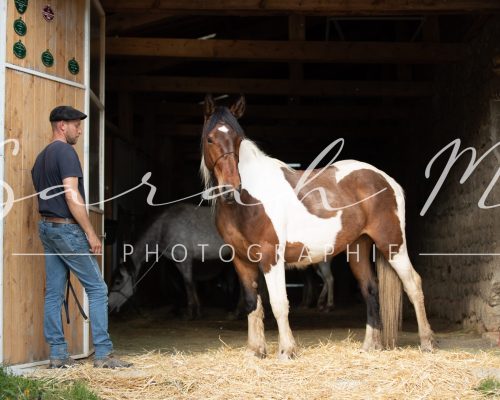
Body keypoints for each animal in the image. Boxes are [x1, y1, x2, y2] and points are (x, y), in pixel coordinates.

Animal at [199, 94, 434, 360]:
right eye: (210, 138)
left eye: (238, 140)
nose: (230, 189)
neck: (248, 200)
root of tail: (386, 180)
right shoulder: (241, 259)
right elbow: (253, 304)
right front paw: (256, 351)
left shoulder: (271, 256)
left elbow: (279, 304)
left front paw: (287, 351)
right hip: (358, 248)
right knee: (370, 289)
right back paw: (369, 346)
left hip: (392, 243)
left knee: (413, 284)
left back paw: (427, 342)